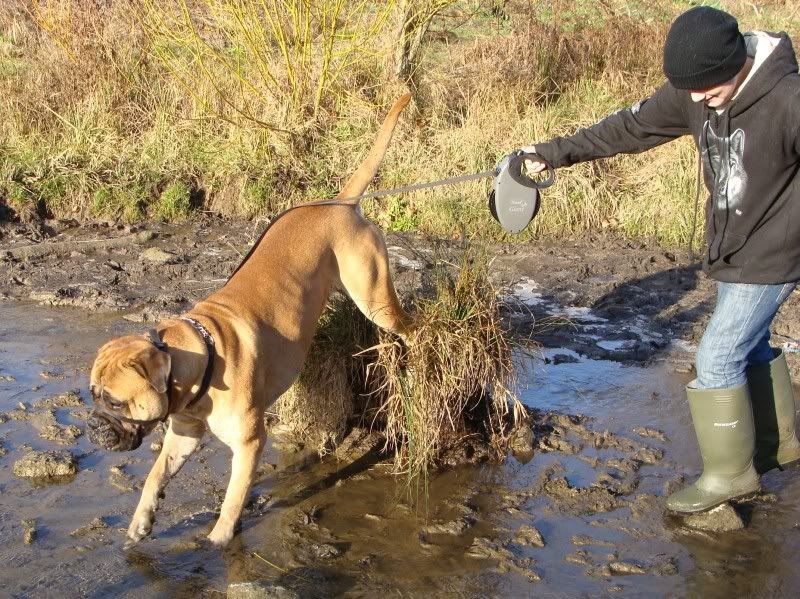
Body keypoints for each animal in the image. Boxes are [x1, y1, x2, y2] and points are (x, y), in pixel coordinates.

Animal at [87, 95, 412, 548]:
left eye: (116, 402)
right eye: (92, 395)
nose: (93, 427)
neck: (200, 359)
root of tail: (340, 203)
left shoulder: (248, 444)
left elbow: (232, 500)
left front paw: (219, 542)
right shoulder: (183, 435)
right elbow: (154, 477)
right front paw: (141, 522)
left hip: (373, 293)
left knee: (408, 326)